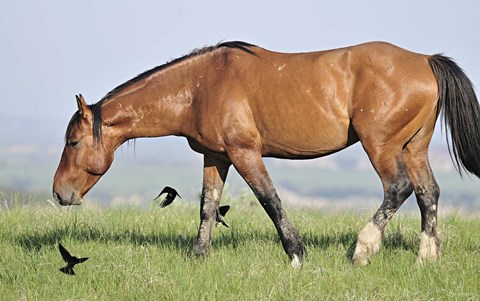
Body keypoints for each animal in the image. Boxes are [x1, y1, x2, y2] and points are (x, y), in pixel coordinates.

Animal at [52, 41, 480, 266]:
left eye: (73, 142)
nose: (59, 193)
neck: (200, 86)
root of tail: (424, 60)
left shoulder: (245, 153)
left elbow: (270, 200)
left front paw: (296, 254)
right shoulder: (216, 157)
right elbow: (208, 206)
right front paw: (199, 256)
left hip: (382, 146)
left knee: (398, 188)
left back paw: (363, 248)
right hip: (414, 147)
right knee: (428, 192)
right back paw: (427, 256)